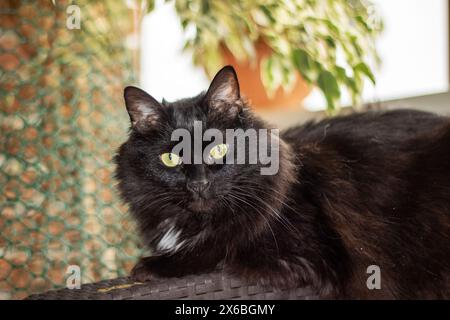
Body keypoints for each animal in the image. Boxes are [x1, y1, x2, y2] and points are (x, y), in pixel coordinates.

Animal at [116, 66, 450, 298]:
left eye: (218, 149)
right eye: (170, 159)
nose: (198, 184)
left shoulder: (303, 256)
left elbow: (218, 249)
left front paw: (150, 266)